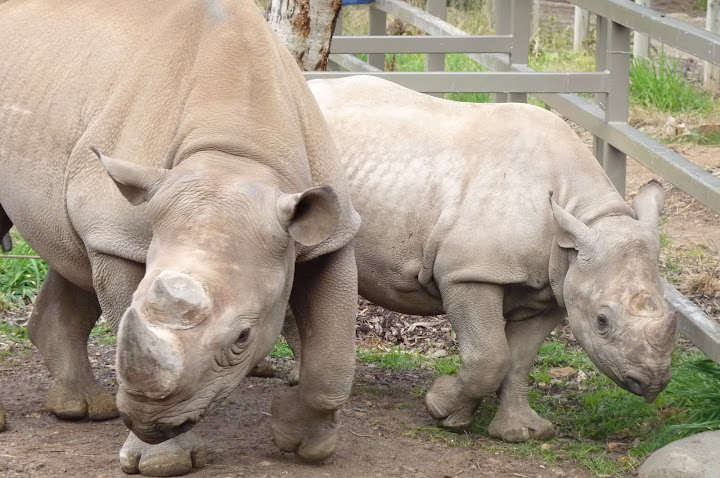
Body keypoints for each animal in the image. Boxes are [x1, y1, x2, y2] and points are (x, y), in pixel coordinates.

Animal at [0, 0, 360, 475]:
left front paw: (304, 445)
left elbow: (334, 353)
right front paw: (165, 460)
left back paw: (85, 409)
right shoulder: (119, 235)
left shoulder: (329, 231)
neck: (235, 153)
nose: (148, 422)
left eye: (243, 338)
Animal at [290, 76, 676, 442]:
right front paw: (442, 410)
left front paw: (521, 432)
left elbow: (519, 361)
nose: (652, 382)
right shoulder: (468, 272)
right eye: (602, 321)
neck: (585, 216)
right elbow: (490, 355)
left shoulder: (556, 287)